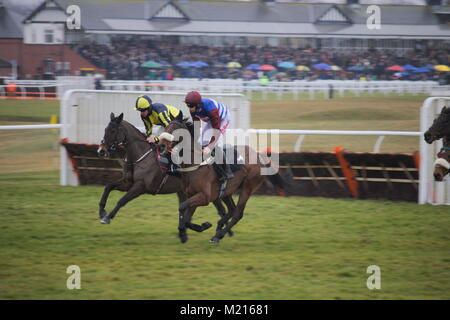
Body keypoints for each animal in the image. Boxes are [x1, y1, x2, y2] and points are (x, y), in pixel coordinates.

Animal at [97, 112, 237, 235]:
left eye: (113, 131)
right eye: (105, 129)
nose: (101, 150)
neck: (141, 156)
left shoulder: (140, 186)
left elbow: (122, 200)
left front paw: (107, 217)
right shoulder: (128, 182)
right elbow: (108, 187)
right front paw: (102, 212)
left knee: (221, 209)